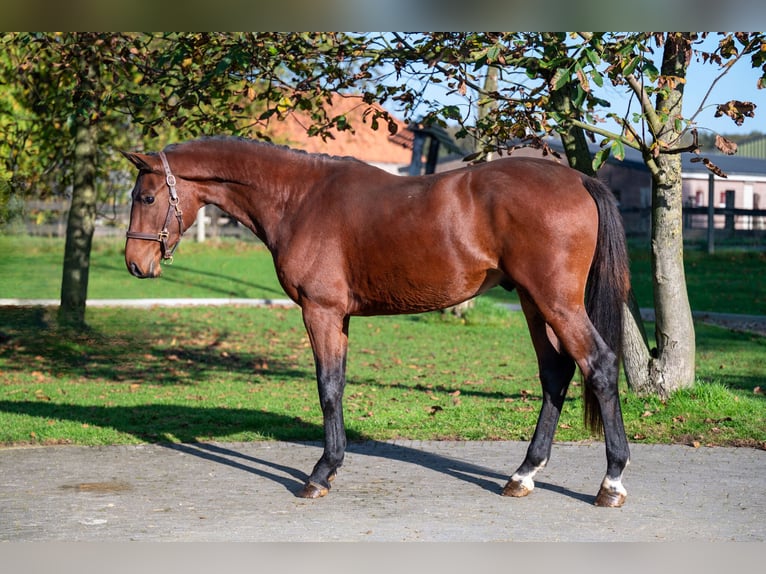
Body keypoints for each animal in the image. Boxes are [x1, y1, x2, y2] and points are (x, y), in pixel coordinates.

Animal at [123, 137, 632, 506]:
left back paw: (611, 482)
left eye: (146, 196)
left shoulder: (321, 311)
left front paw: (320, 474)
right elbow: (338, 385)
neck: (300, 199)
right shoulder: (339, 317)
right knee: (555, 374)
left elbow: (327, 388)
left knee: (600, 366)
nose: (134, 264)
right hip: (532, 301)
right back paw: (523, 475)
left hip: (556, 302)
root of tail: (580, 181)